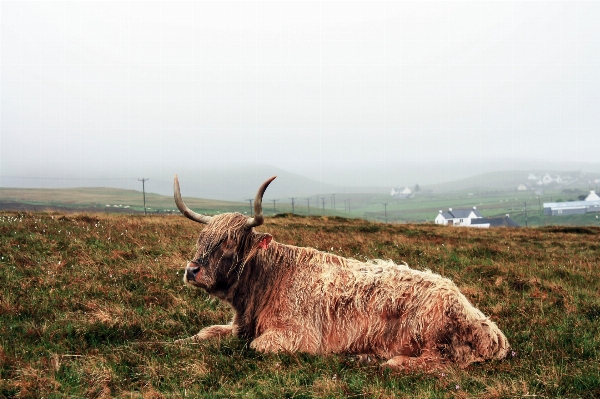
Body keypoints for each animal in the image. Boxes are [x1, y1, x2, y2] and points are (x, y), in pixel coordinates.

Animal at [172, 177, 506, 370]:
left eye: (229, 242)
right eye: (202, 238)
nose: (192, 270)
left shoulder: (297, 336)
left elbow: (255, 346)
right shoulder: (239, 326)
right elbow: (205, 333)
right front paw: (179, 343)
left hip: (431, 335)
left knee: (438, 361)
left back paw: (382, 360)